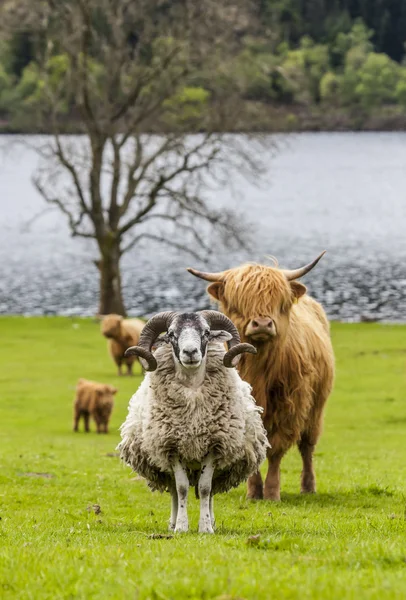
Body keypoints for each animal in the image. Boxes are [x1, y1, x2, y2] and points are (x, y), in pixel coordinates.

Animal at [117, 312, 270, 532]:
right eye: (171, 334)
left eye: (206, 332)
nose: (190, 352)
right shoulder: (171, 447)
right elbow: (181, 488)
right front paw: (181, 527)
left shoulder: (215, 446)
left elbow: (205, 488)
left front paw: (206, 528)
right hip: (164, 464)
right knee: (174, 489)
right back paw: (172, 524)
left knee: (210, 489)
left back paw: (211, 521)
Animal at [187, 251, 334, 500]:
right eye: (239, 300)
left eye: (279, 301)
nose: (263, 323)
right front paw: (254, 492)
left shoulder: (288, 408)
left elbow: (276, 451)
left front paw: (272, 492)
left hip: (315, 407)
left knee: (307, 447)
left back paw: (308, 486)